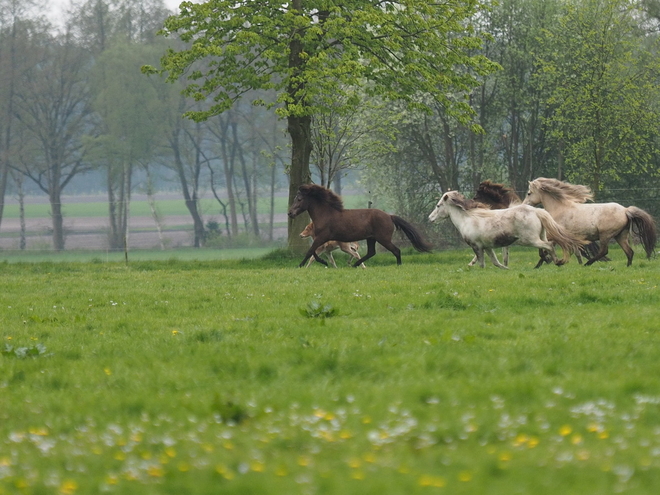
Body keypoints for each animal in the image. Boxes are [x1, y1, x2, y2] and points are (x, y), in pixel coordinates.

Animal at [288, 185, 434, 270]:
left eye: (299, 199)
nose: (290, 213)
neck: (325, 214)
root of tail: (389, 215)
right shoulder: (321, 239)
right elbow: (313, 251)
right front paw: (324, 262)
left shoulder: (322, 237)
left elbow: (310, 251)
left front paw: (300, 265)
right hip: (371, 238)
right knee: (371, 252)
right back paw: (355, 265)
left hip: (383, 239)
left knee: (396, 250)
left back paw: (398, 266)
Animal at [426, 190, 580, 270]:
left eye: (438, 205)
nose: (430, 218)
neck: (467, 219)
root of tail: (536, 211)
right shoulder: (487, 247)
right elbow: (496, 262)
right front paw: (508, 269)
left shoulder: (477, 247)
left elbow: (482, 264)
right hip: (540, 236)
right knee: (547, 247)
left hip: (529, 240)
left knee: (548, 246)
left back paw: (558, 262)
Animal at [524, 178, 656, 268]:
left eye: (529, 193)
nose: (525, 205)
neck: (560, 208)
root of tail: (625, 210)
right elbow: (573, 251)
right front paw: (541, 264)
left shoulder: (556, 235)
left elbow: (544, 248)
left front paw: (550, 261)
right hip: (621, 236)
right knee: (629, 251)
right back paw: (628, 267)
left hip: (605, 235)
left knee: (604, 251)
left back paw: (588, 263)